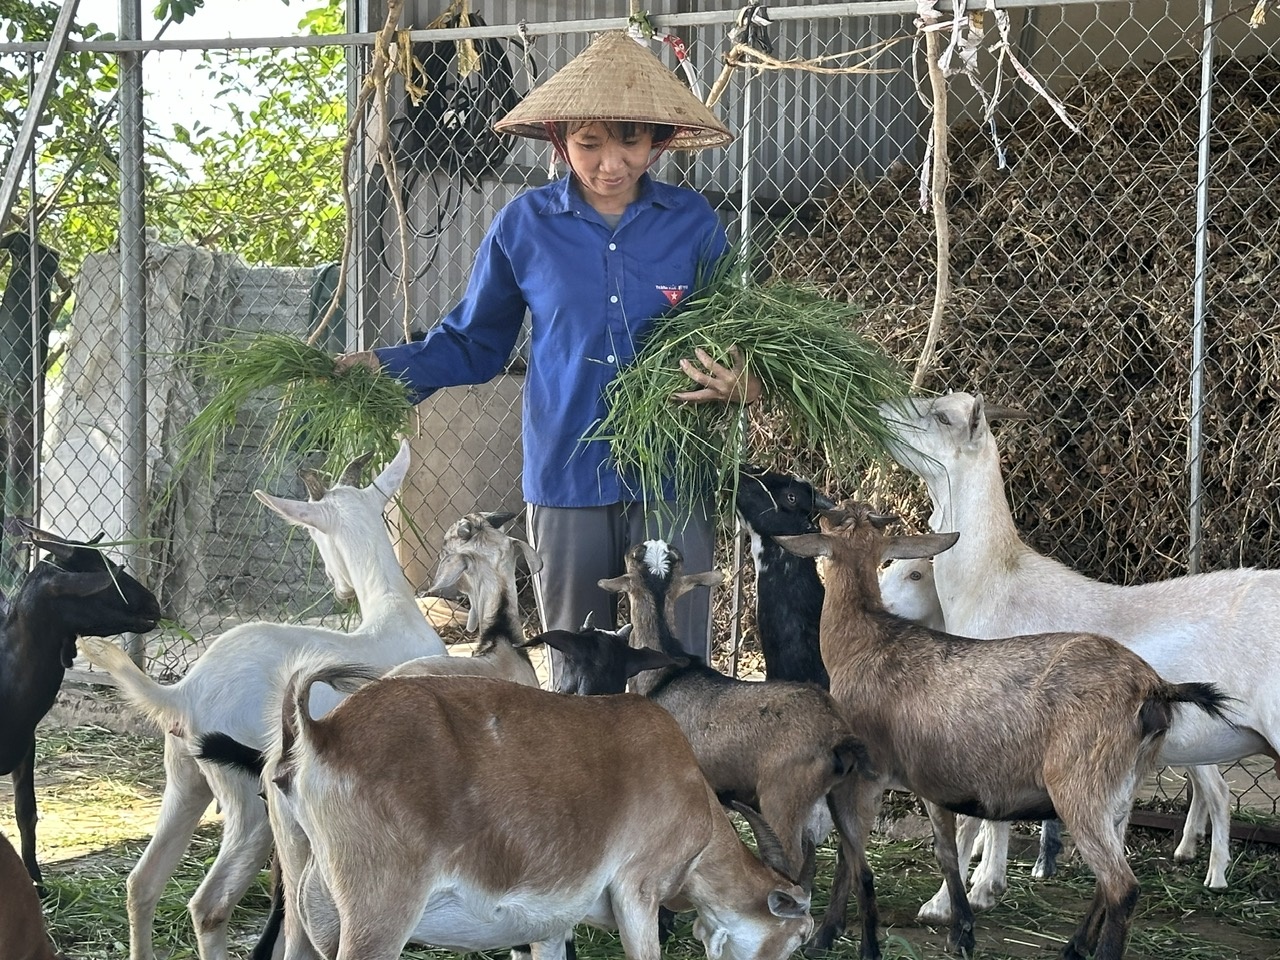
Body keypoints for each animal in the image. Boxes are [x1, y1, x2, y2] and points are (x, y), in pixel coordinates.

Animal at [80, 442, 448, 960]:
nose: (342, 589)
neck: (392, 615)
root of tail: (186, 693)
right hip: (250, 805)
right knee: (208, 904)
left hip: (186, 781)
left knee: (142, 882)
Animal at [773, 504, 1233, 960]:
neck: (866, 641)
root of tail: (1153, 687)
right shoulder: (929, 778)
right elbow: (945, 850)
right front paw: (961, 932)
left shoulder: (866, 774)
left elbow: (849, 857)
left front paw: (826, 935)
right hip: (1122, 790)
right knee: (1109, 880)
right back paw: (1074, 947)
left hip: (1080, 787)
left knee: (1122, 886)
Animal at [880, 391, 1280, 916]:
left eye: (943, 416)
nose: (879, 409)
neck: (994, 581)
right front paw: (990, 885)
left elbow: (976, 818)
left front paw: (953, 900)